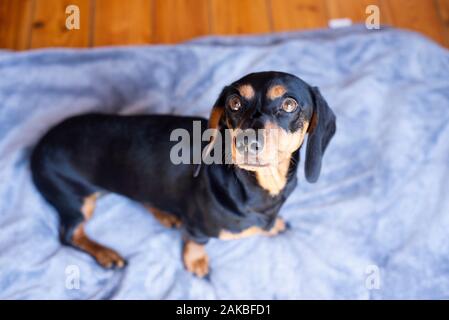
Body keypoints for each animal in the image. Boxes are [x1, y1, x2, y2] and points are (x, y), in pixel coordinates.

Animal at [29, 71, 334, 276]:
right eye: (234, 102)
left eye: (289, 104)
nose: (247, 142)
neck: (259, 187)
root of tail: (39, 145)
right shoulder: (198, 228)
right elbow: (195, 241)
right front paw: (196, 260)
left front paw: (274, 225)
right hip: (76, 202)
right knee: (69, 235)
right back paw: (105, 254)